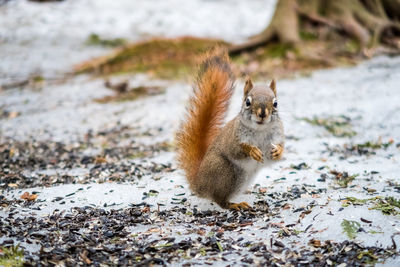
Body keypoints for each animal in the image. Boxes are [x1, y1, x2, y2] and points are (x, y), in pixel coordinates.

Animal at [176, 49, 284, 210]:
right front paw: (252, 150)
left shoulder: (278, 134)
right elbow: (235, 149)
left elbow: (278, 151)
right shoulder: (233, 137)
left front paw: (278, 151)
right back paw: (235, 204)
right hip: (225, 172)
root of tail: (200, 183)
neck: (260, 130)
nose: (263, 114)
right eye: (247, 102)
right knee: (219, 200)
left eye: (275, 103)